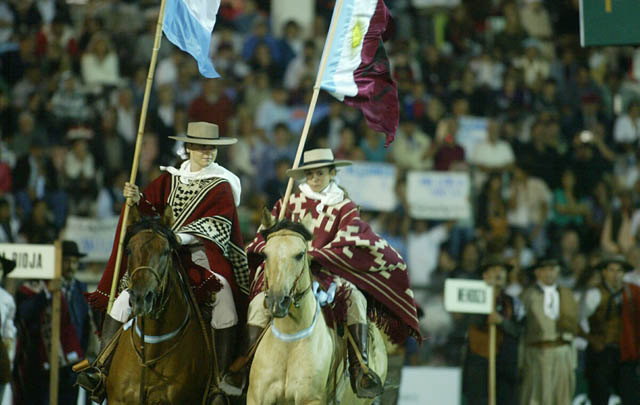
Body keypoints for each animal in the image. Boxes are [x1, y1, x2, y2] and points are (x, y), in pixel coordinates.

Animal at [248, 218, 388, 404]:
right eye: (265, 255)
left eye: (300, 254)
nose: (278, 302)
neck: (289, 342)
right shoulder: (256, 398)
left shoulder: (311, 399)